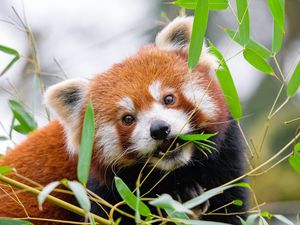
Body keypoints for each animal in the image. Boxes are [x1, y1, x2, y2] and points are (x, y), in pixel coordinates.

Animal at [0, 17, 247, 225]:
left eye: (169, 98)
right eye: (128, 118)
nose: (159, 129)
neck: (175, 174)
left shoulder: (224, 171)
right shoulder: (104, 195)